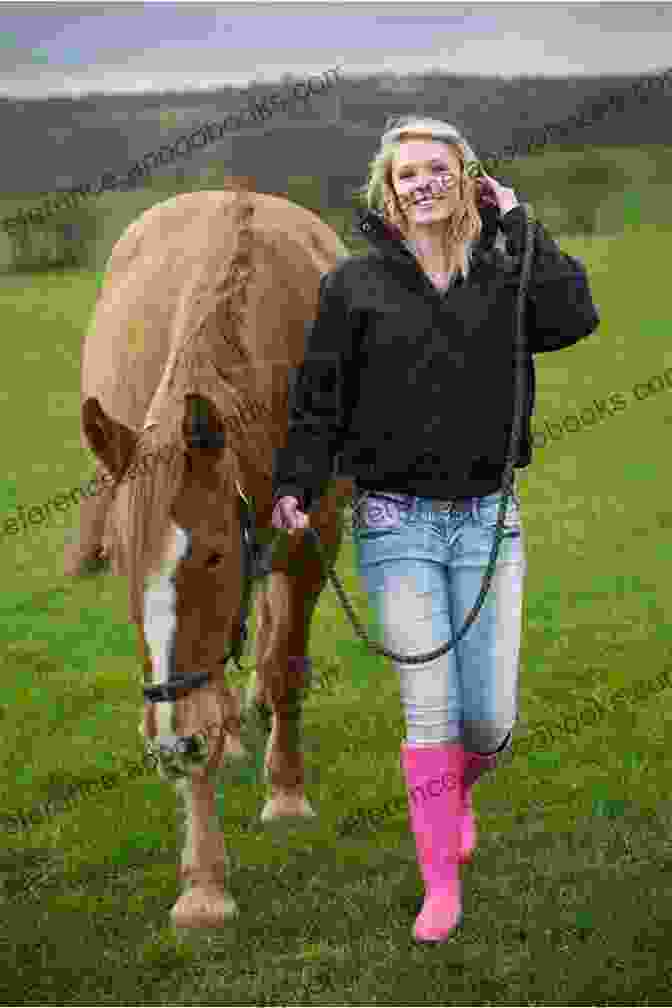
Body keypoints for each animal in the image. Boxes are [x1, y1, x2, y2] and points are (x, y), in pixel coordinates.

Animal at [69, 183, 356, 927]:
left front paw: (286, 792)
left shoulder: (312, 544)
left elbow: (284, 664)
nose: (172, 745)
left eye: (217, 554)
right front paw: (203, 883)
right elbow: (196, 707)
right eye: (119, 558)